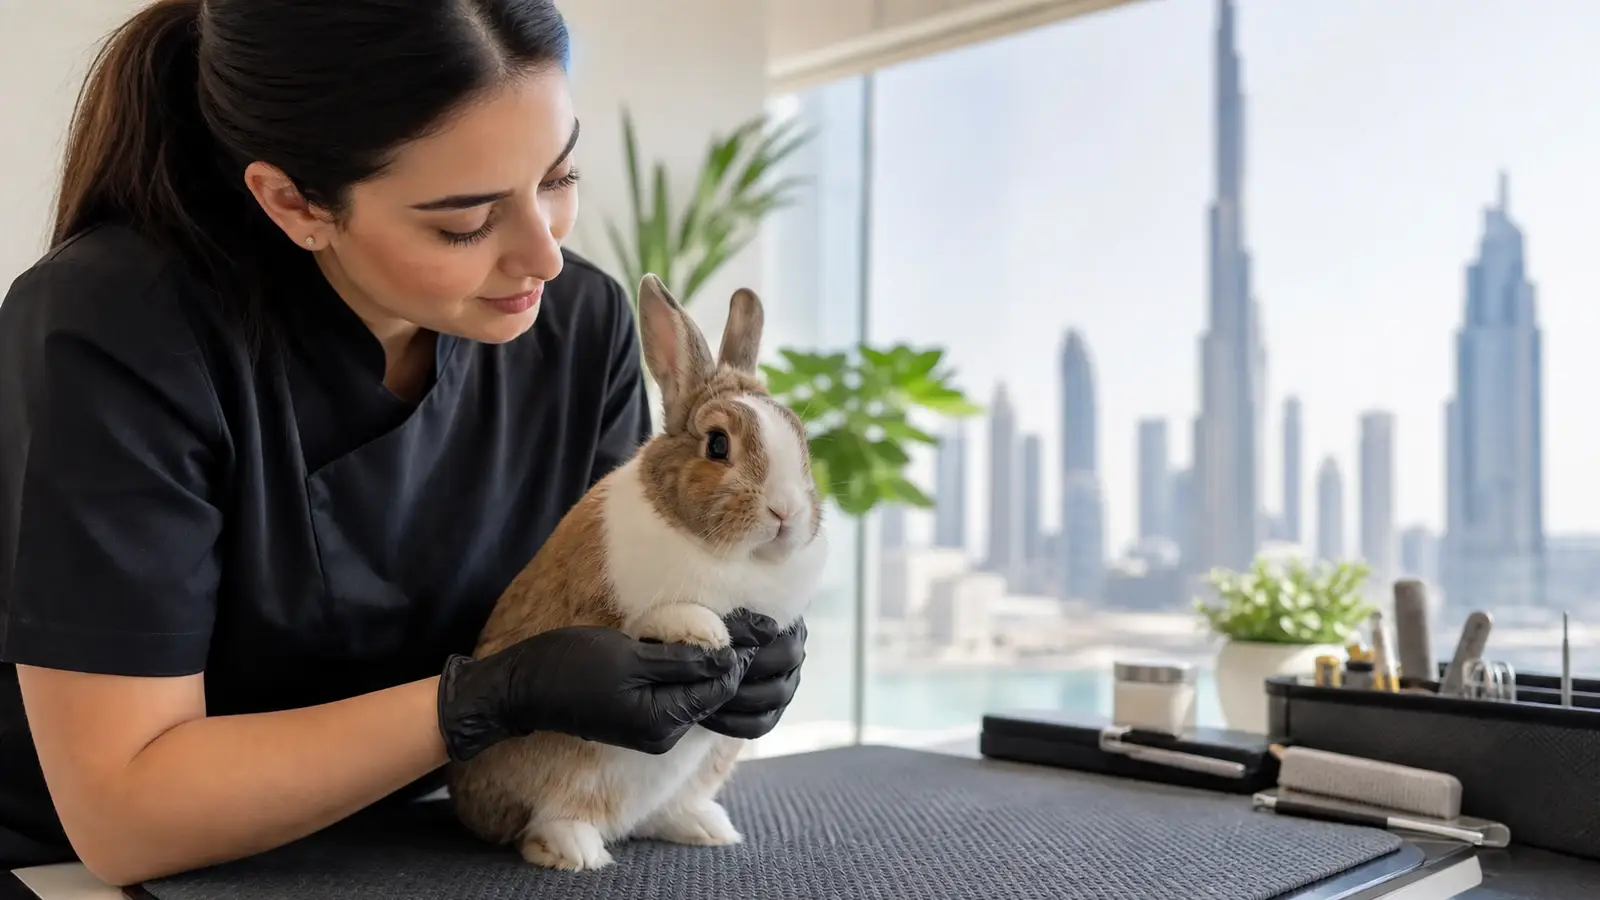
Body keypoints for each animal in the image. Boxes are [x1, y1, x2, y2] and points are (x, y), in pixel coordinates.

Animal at [446, 273, 830, 872]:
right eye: (717, 444)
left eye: (802, 444)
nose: (786, 512)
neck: (730, 556)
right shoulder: (616, 608)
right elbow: (658, 618)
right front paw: (705, 633)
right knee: (543, 822)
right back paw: (576, 850)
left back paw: (705, 827)